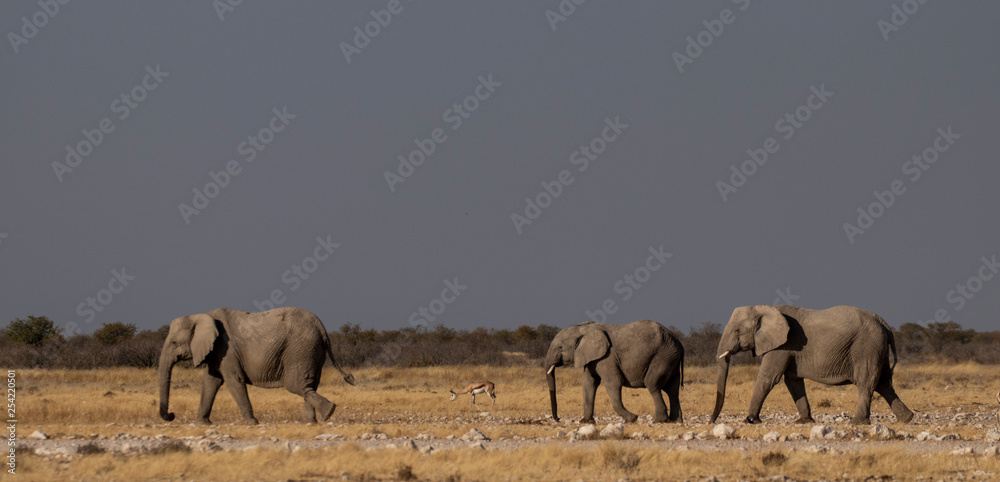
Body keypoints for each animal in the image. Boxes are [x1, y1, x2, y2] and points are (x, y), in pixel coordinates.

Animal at [158, 307, 355, 425]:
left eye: (174, 342)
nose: (171, 415)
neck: (202, 316)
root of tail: (321, 326)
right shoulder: (217, 352)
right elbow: (210, 382)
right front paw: (201, 423)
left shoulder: (226, 349)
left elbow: (233, 381)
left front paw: (251, 423)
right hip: (312, 349)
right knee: (310, 384)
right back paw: (311, 421)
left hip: (300, 348)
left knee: (296, 384)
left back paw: (328, 412)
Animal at [545, 320, 684, 424]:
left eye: (560, 347)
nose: (558, 419)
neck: (584, 329)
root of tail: (678, 342)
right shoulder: (592, 358)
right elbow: (588, 383)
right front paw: (586, 421)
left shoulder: (607, 357)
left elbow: (613, 382)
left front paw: (632, 419)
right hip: (671, 357)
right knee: (672, 389)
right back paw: (676, 421)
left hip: (662, 356)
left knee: (652, 384)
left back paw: (659, 420)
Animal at [710, 305, 914, 425]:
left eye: (737, 330)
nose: (711, 421)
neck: (764, 309)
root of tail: (884, 324)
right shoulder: (789, 348)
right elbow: (792, 381)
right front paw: (804, 421)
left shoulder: (783, 345)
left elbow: (769, 378)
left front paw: (750, 420)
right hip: (876, 347)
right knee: (883, 383)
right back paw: (906, 419)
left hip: (867, 347)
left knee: (867, 383)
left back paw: (858, 422)